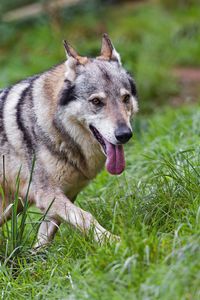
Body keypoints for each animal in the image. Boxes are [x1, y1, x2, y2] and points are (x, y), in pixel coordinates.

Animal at [0, 34, 138, 247]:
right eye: (96, 101)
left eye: (125, 98)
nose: (124, 134)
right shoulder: (47, 195)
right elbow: (86, 217)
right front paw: (115, 242)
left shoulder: (65, 196)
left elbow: (44, 240)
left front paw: (36, 256)